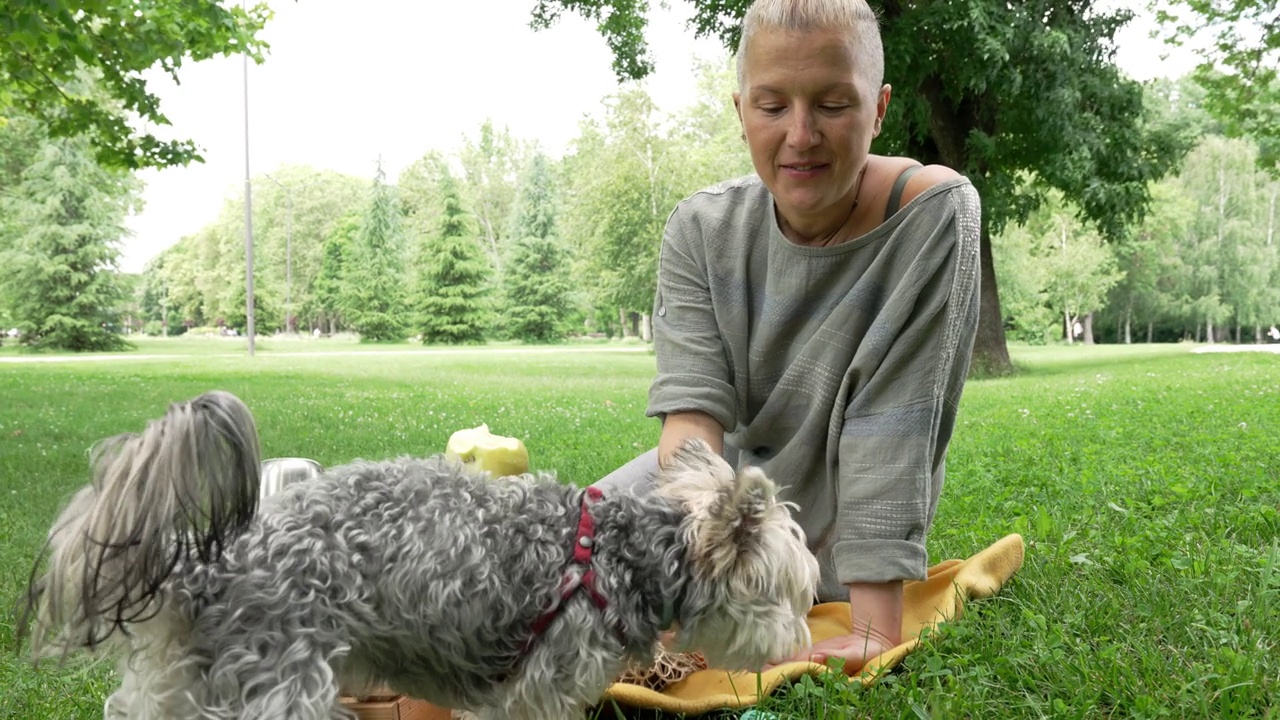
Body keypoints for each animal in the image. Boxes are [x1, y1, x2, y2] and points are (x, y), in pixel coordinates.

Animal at [17, 392, 819, 717]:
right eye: (791, 593)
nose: (798, 643)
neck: (620, 556)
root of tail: (209, 567)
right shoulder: (531, 697)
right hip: (280, 687)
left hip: (183, 691)